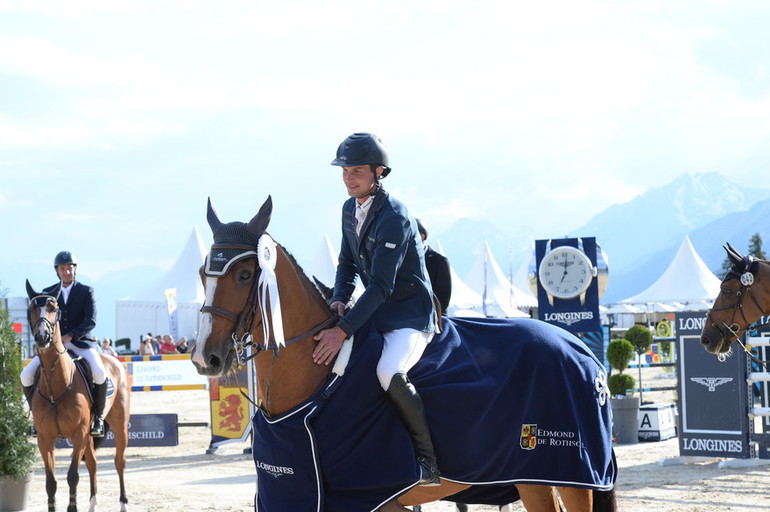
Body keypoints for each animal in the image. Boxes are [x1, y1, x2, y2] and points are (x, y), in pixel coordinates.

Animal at [25, 280, 130, 512]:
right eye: (31, 309)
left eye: (53, 308)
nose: (42, 337)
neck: (55, 385)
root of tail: (115, 361)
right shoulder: (45, 438)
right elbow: (51, 482)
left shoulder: (79, 433)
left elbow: (72, 476)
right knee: (92, 463)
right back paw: (92, 504)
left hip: (119, 423)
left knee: (119, 462)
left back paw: (123, 503)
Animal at [192, 197, 616, 512]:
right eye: (201, 274)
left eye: (245, 274)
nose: (203, 358)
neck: (316, 379)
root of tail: (581, 349)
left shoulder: (374, 497)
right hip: (536, 479)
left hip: (570, 473)